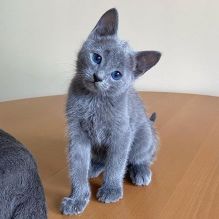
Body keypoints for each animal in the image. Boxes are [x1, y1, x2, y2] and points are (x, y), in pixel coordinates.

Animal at [60, 8, 160, 216]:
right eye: (97, 57)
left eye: (116, 75)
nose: (98, 77)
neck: (94, 100)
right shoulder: (77, 132)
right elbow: (77, 165)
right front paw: (77, 198)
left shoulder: (121, 133)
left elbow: (116, 162)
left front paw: (112, 189)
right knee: (101, 159)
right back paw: (94, 167)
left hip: (143, 135)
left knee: (142, 156)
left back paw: (141, 171)